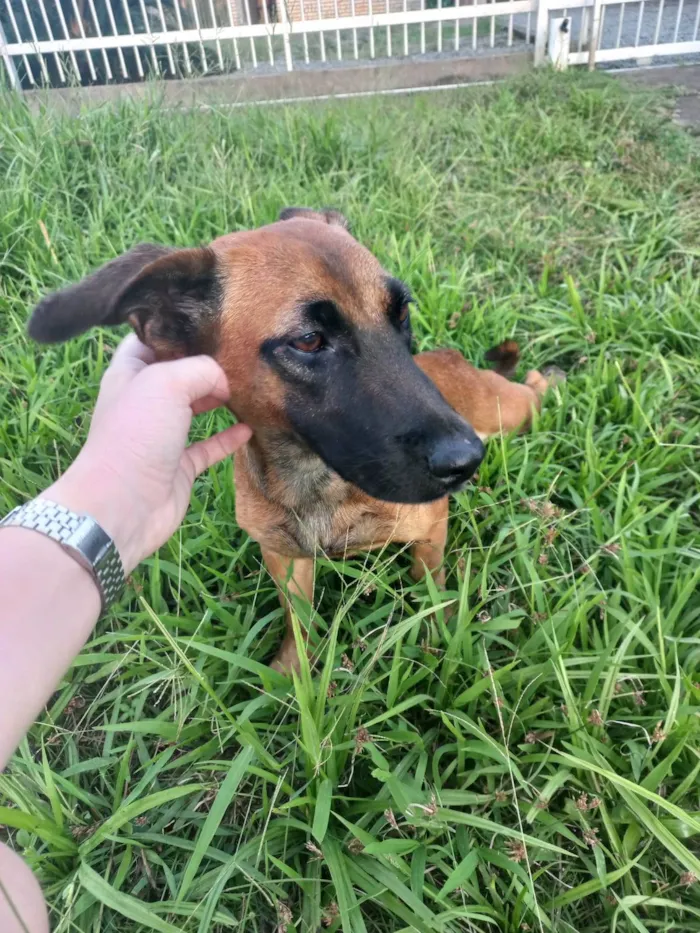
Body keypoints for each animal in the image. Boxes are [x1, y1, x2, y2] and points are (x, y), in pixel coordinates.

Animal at [28, 208, 564, 672]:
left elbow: (431, 588)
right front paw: (295, 675)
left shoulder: (431, 528)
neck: (318, 482)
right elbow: (299, 624)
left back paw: (551, 379)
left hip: (509, 410)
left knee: (532, 389)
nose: (465, 461)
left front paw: (442, 636)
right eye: (308, 341)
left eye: (401, 313)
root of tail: (454, 358)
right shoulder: (284, 559)